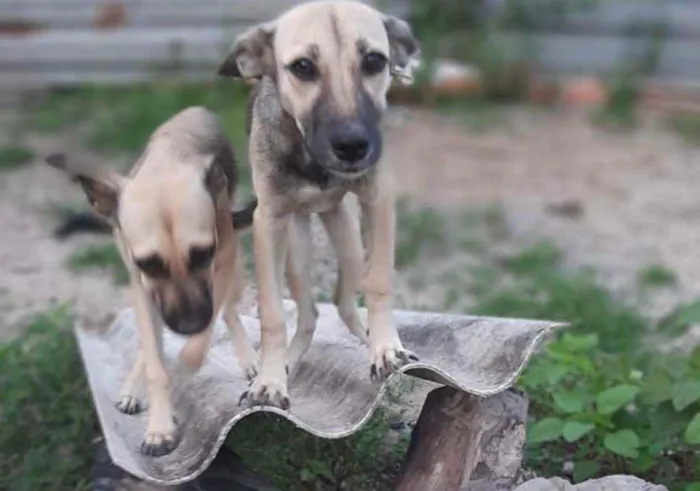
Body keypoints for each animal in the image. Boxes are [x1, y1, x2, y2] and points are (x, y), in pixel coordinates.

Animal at [47, 106, 260, 458]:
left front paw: (180, 376)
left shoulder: (219, 266)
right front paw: (159, 425)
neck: (168, 160)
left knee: (229, 311)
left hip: (233, 268)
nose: (188, 325)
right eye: (147, 263)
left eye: (203, 253)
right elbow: (154, 361)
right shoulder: (143, 286)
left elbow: (193, 351)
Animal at [219, 0, 418, 410]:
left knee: (344, 301)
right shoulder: (269, 222)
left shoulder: (378, 199)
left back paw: (368, 338)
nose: (353, 145)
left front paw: (385, 349)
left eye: (374, 61)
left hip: (351, 245)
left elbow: (379, 283)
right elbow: (272, 314)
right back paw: (290, 360)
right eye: (303, 67)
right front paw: (269, 380)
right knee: (309, 311)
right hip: (296, 250)